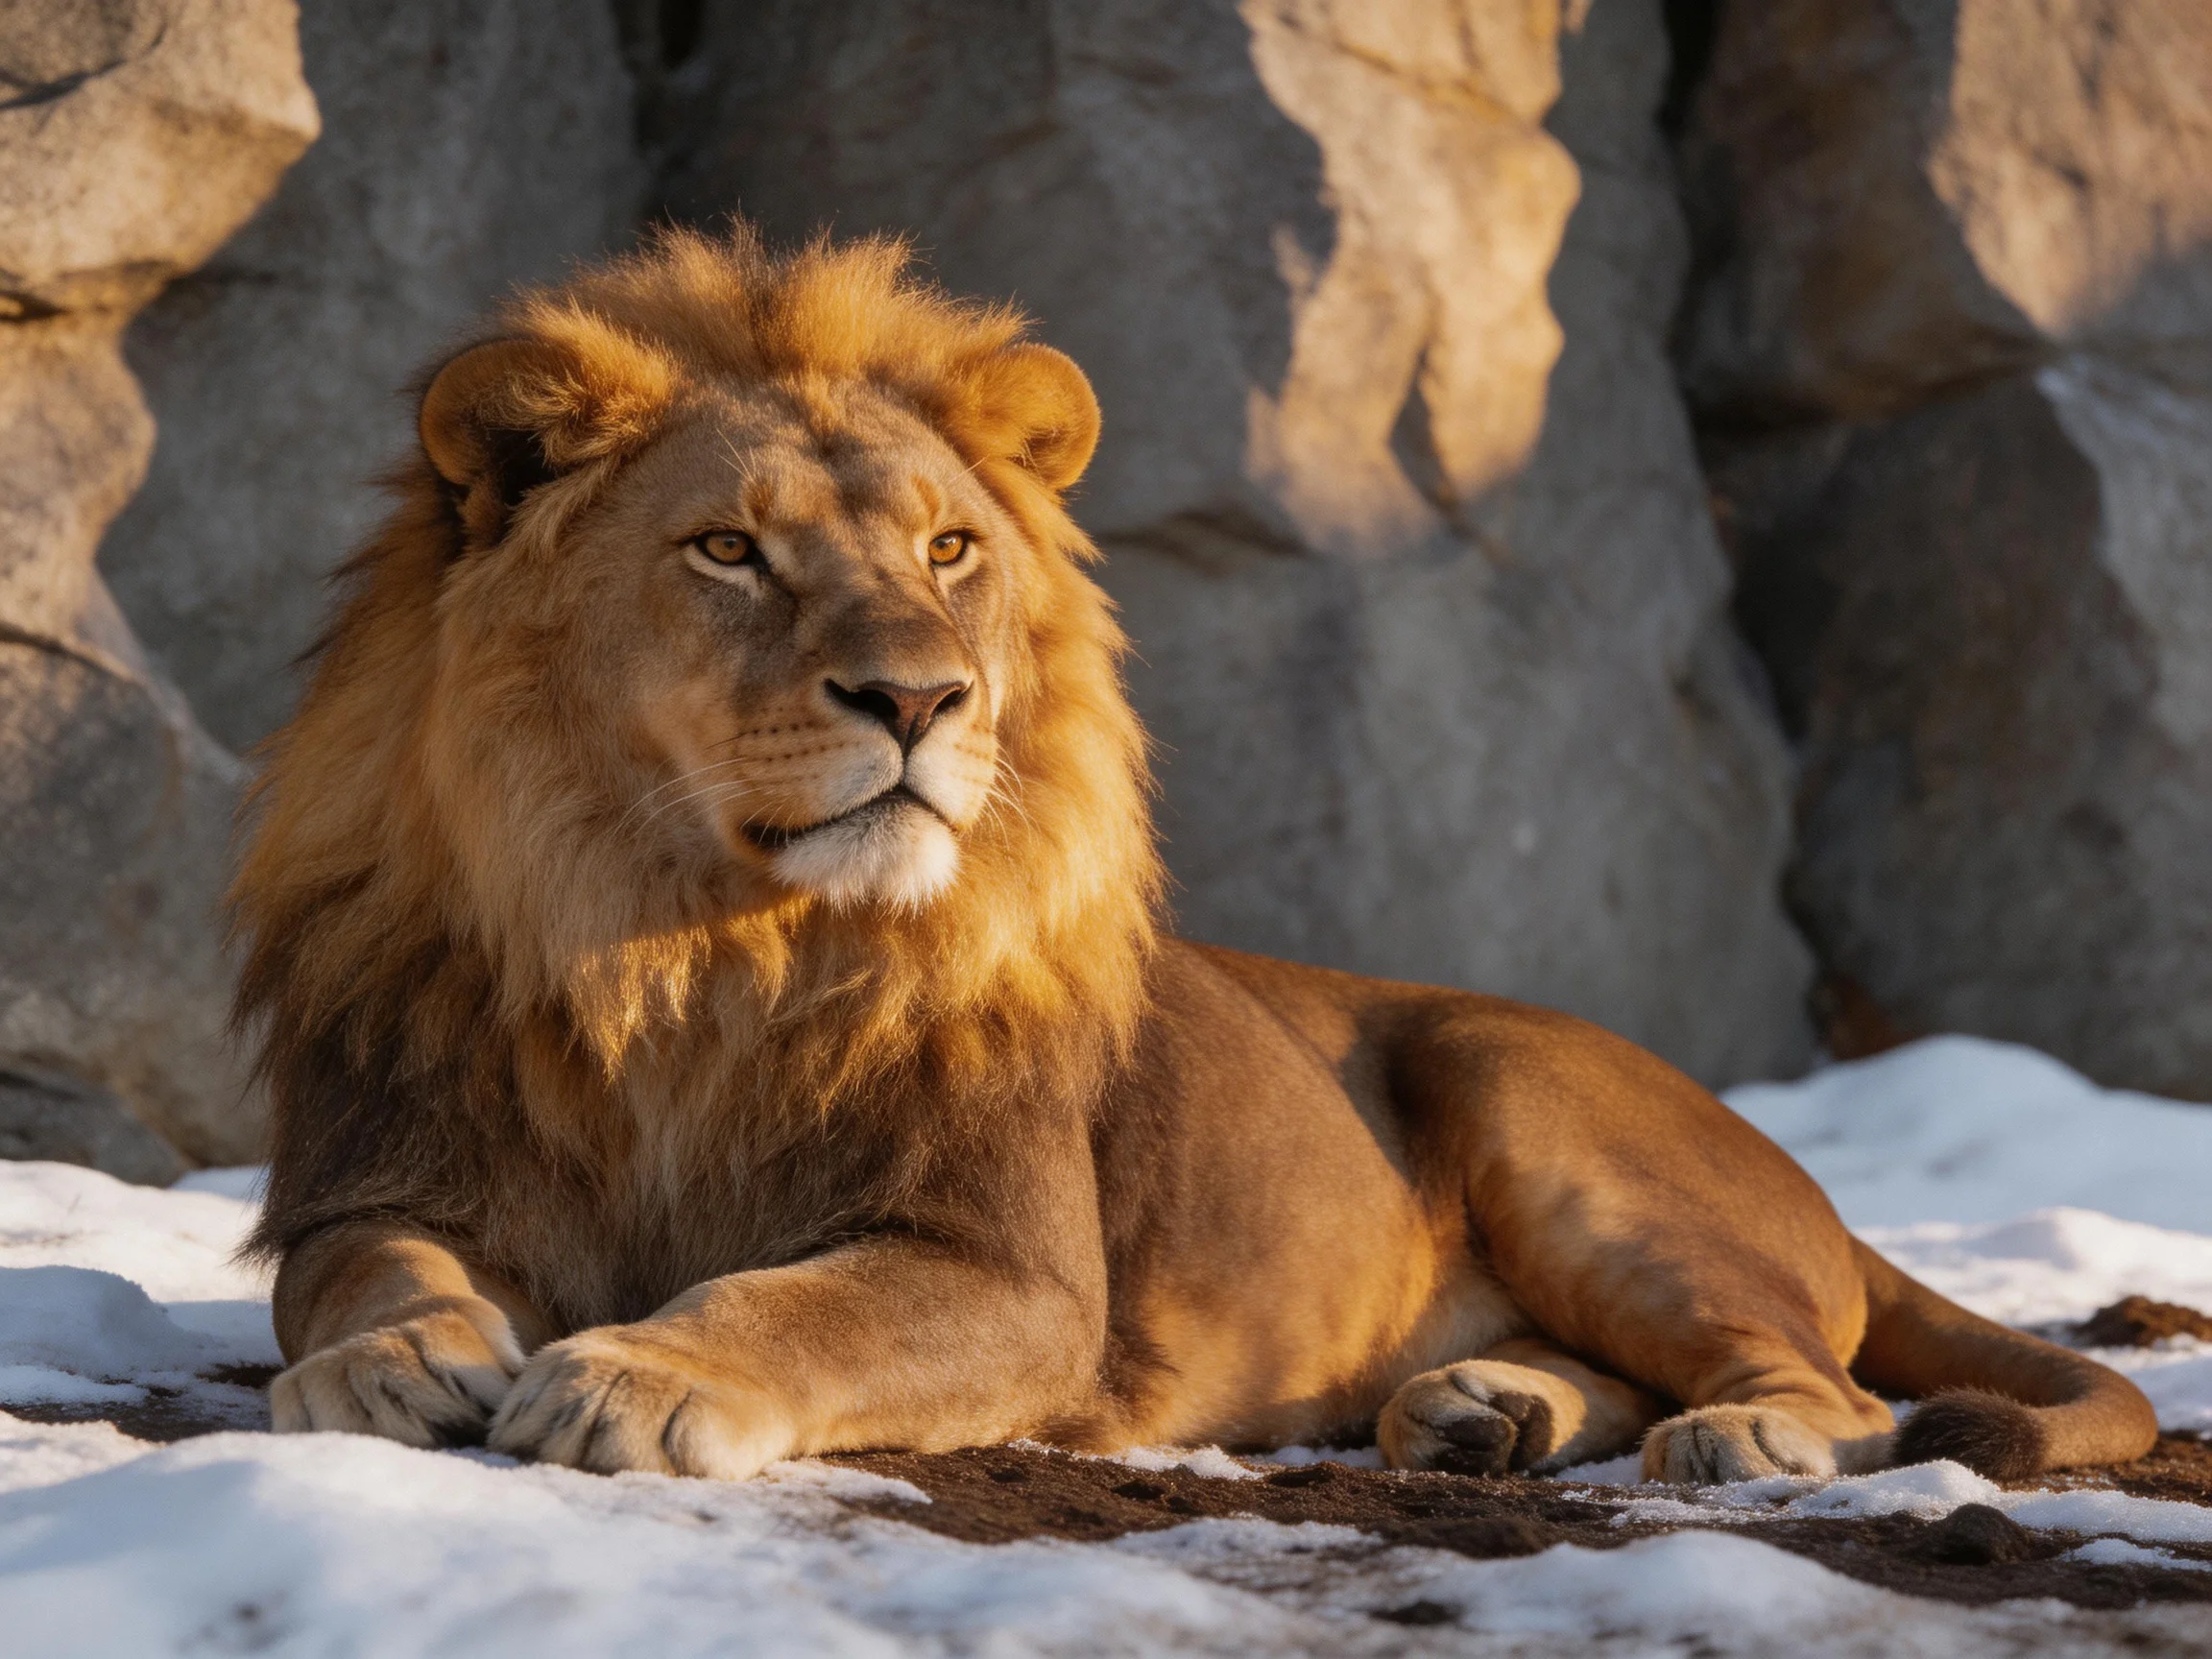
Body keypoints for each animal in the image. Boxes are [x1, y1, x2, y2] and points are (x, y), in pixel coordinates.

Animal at [235, 225, 2155, 1488]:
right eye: (727, 551)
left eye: (947, 550)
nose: (918, 697)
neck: (691, 941)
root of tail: (1813, 1189)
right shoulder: (379, 1172)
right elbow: (359, 1270)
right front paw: (395, 1362)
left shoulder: (1010, 1275)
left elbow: (802, 1305)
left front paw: (630, 1371)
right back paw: (1482, 1410)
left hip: (1534, 1102)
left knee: (1840, 1389)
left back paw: (1736, 1428)